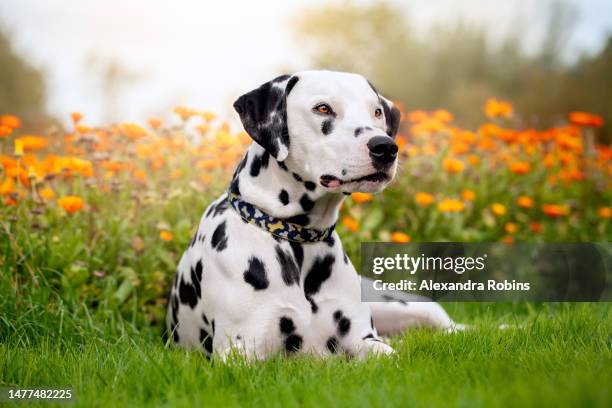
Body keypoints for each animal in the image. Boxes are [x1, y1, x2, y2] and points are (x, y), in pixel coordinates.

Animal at [167, 70, 460, 360]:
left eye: (377, 112)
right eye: (323, 108)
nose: (385, 147)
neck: (297, 239)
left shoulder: (366, 341)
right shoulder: (239, 351)